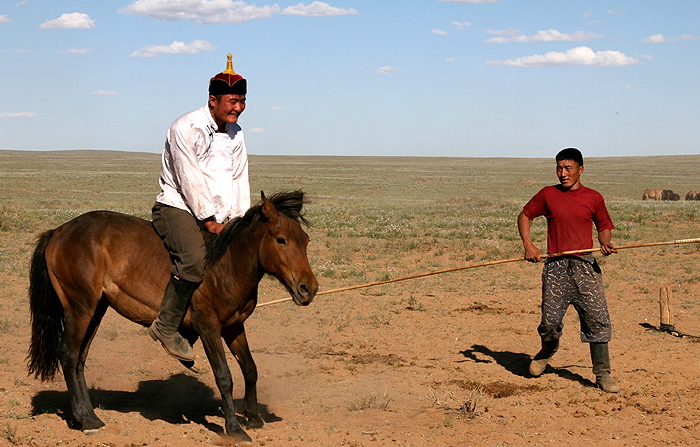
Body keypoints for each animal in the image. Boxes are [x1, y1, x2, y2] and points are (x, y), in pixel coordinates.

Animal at [27, 191, 318, 442]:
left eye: (305, 240)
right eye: (280, 239)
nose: (309, 288)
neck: (227, 265)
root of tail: (59, 232)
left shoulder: (234, 327)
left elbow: (250, 368)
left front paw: (254, 417)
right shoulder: (208, 327)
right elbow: (224, 376)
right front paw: (234, 429)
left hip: (96, 308)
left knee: (79, 359)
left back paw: (91, 416)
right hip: (80, 308)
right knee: (68, 354)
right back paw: (85, 420)